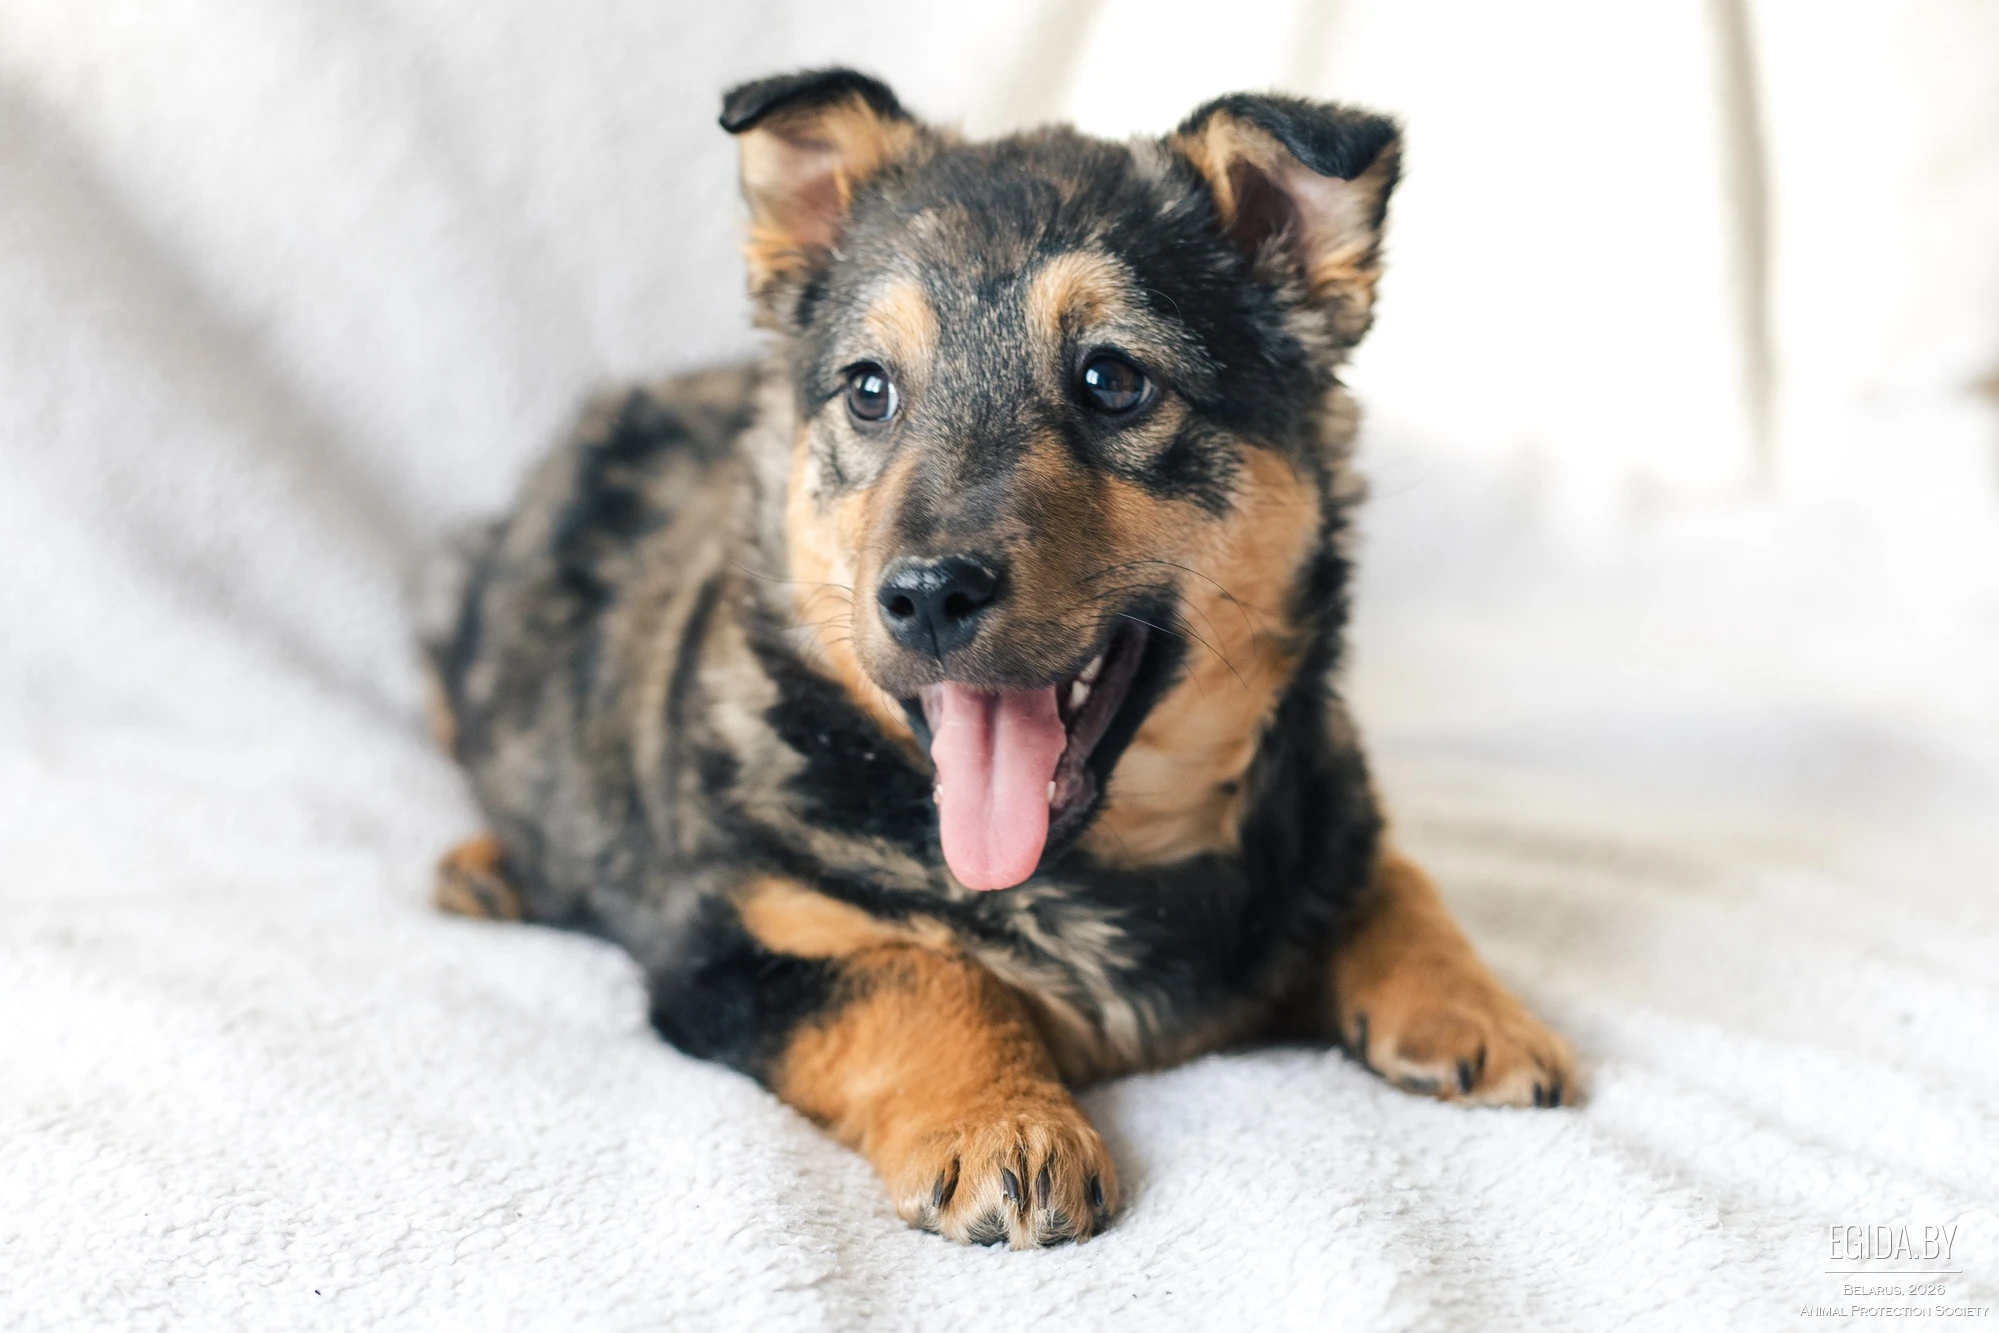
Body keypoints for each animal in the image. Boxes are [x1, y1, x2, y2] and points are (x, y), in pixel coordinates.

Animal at [421, 67, 1574, 1250]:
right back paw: (490, 866)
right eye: (869, 389)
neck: (1098, 871)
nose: (927, 594)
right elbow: (922, 979)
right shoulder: (731, 941)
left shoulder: (1331, 798)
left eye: (1112, 378)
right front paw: (1005, 1127)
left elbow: (1395, 872)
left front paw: (1478, 1013)